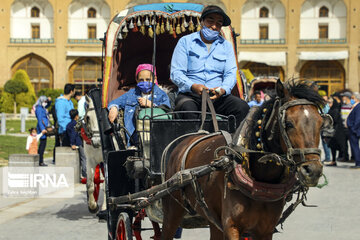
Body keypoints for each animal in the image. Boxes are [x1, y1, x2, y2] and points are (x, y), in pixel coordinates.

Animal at [162, 79, 330, 239]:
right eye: (288, 124)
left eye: (321, 124)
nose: (313, 170)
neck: (262, 179)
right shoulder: (231, 227)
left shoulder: (266, 230)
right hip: (172, 211)